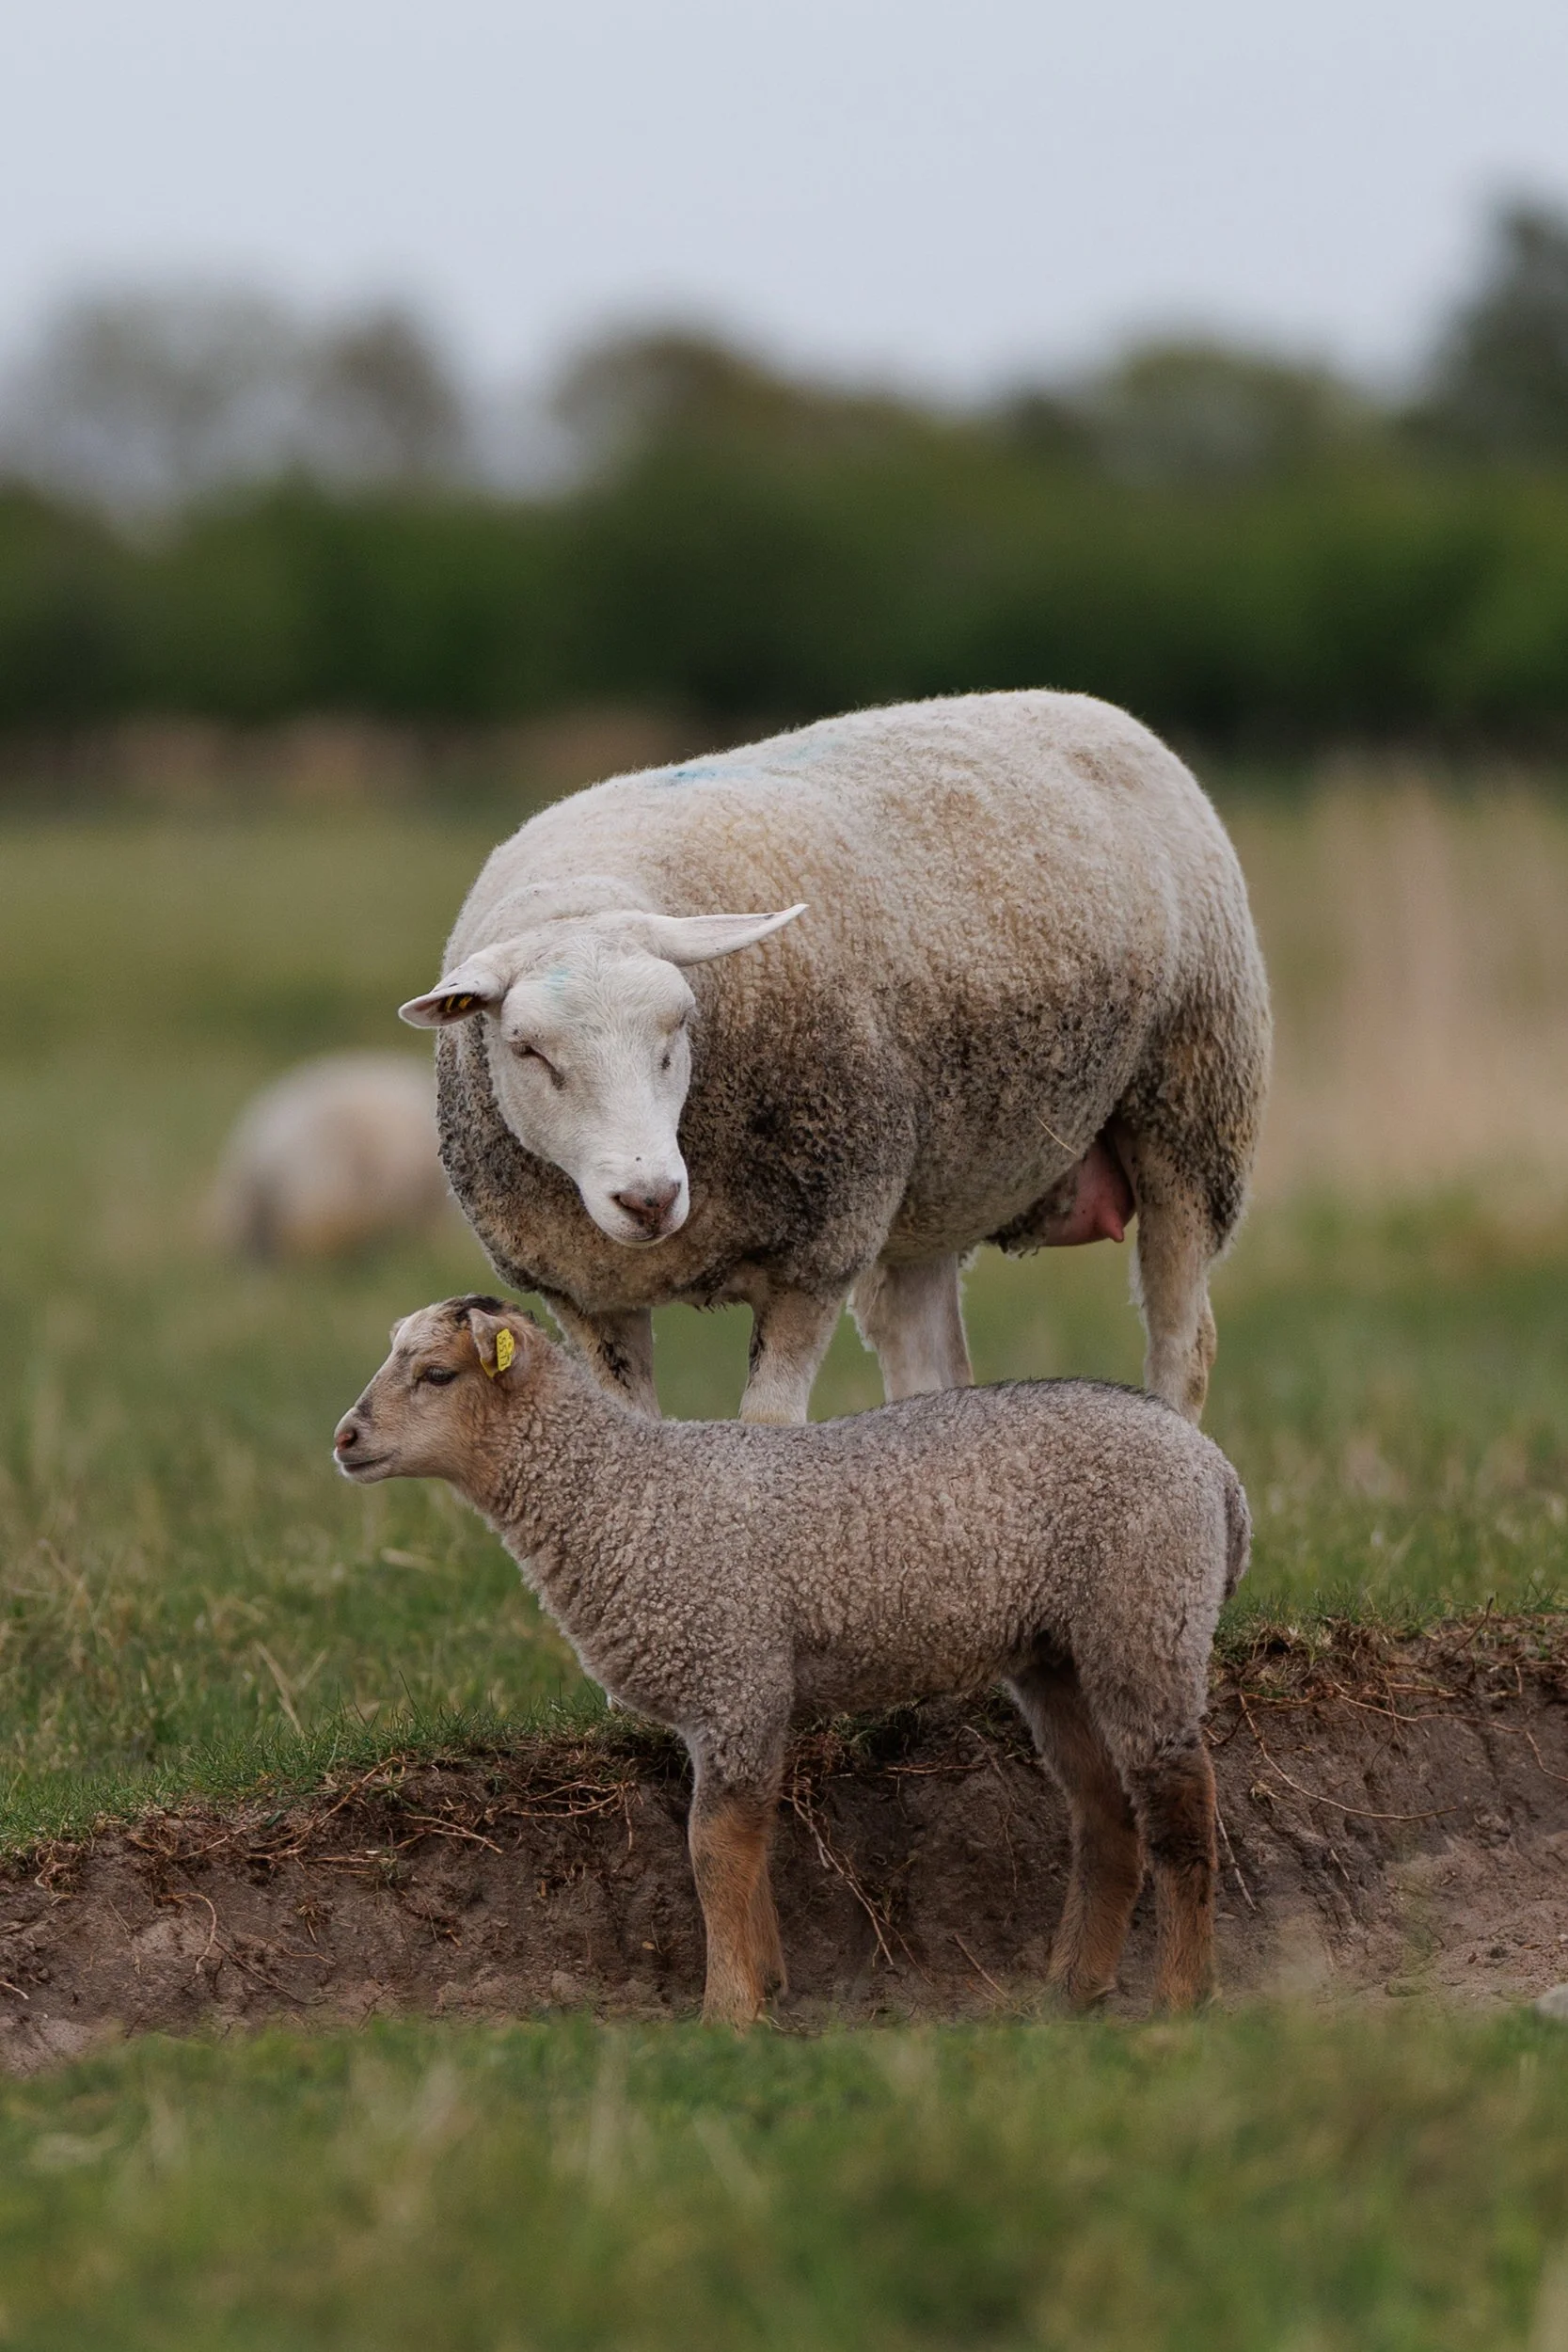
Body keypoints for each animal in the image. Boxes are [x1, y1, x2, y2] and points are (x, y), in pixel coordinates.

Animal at [333, 1293, 1252, 2023]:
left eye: (438, 1375)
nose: (345, 1438)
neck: (622, 1497)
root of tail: (1211, 1464)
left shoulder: (734, 1675)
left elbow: (712, 1851)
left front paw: (728, 2011)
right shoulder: (731, 1698)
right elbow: (744, 1846)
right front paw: (766, 1981)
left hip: (1145, 1615)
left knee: (1178, 1802)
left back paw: (1180, 1994)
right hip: (1057, 1651)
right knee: (1104, 1812)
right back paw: (1072, 1989)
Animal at [401, 690, 1270, 1428]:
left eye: (679, 1026)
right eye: (525, 1047)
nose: (648, 1198)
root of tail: (1091, 706)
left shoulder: (815, 1253)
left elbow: (769, 1424)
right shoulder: (587, 1295)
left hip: (1190, 1107)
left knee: (1183, 1340)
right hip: (926, 1190)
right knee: (928, 1366)